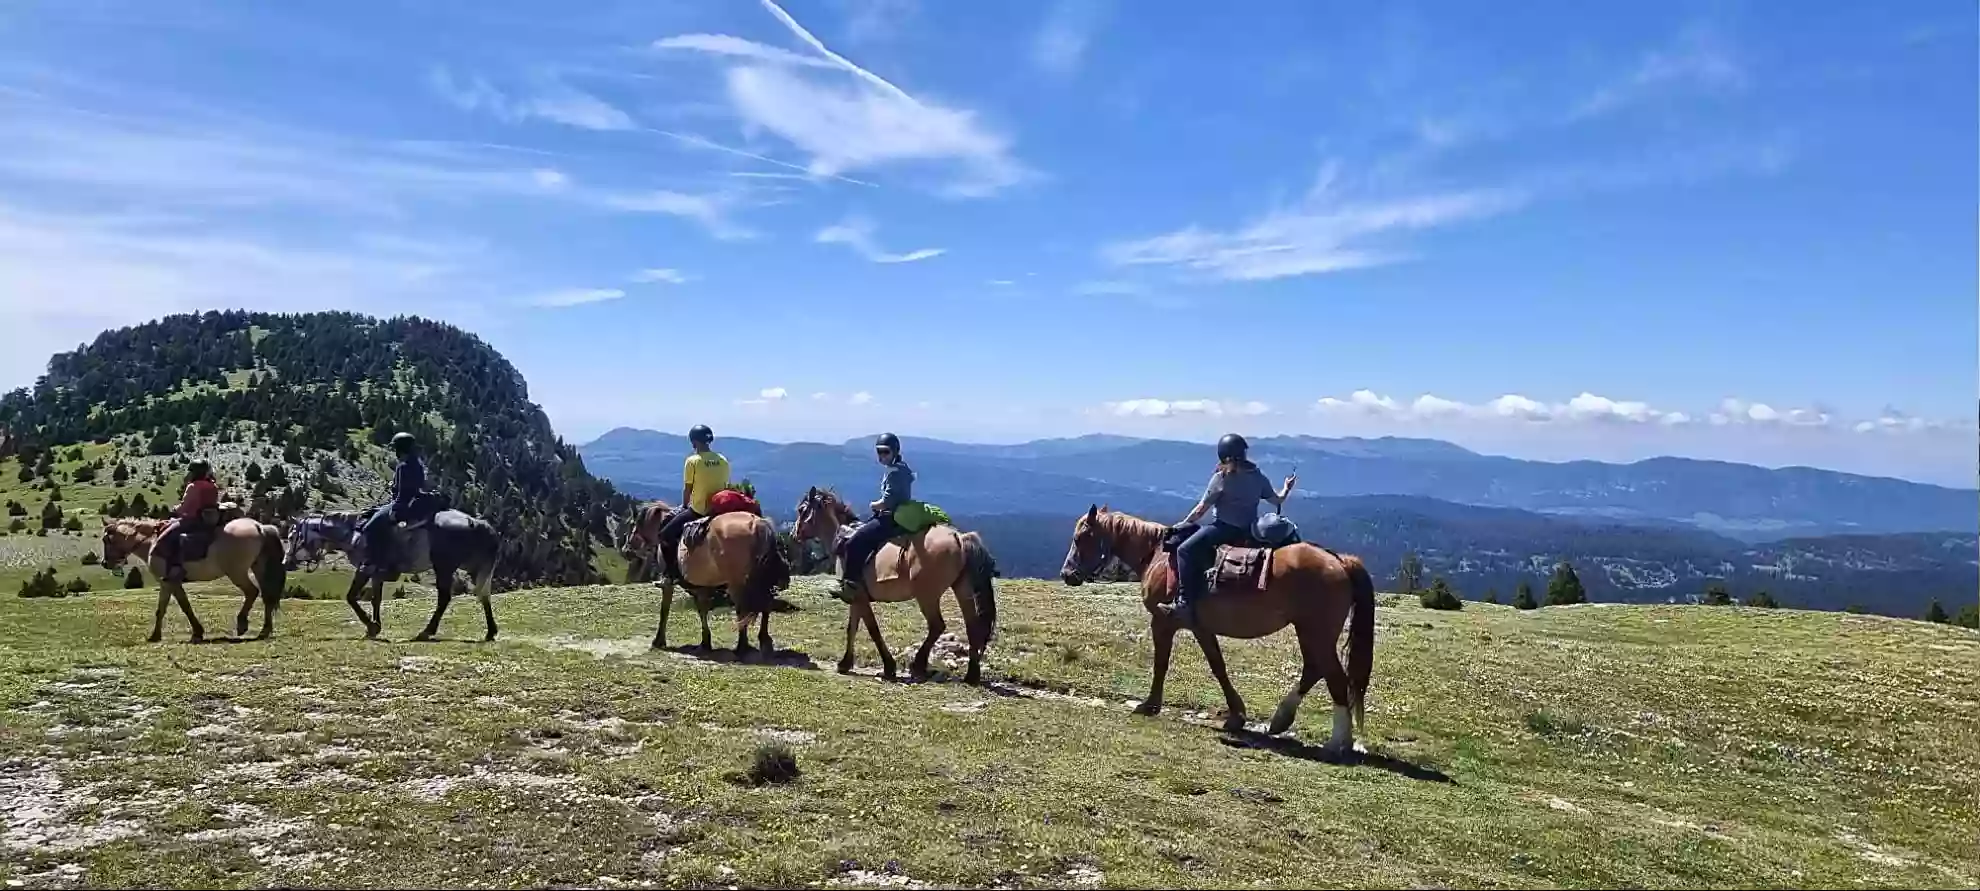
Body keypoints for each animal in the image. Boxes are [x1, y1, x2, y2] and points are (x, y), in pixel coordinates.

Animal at [100, 510, 289, 645]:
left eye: (105, 540)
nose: (105, 563)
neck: (151, 543)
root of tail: (259, 527)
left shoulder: (167, 582)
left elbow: (173, 608)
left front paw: (158, 635)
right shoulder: (171, 582)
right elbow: (175, 607)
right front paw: (192, 633)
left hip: (237, 572)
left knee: (252, 592)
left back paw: (242, 625)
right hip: (257, 567)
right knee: (266, 596)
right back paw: (264, 630)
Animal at [788, 487, 997, 681]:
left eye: (802, 509)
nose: (793, 534)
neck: (842, 539)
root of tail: (959, 537)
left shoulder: (860, 597)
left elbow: (872, 629)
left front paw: (888, 667)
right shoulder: (855, 597)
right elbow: (852, 628)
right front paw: (845, 663)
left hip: (927, 595)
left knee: (937, 625)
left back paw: (918, 665)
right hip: (962, 589)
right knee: (972, 627)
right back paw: (972, 675)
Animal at [1061, 506, 1370, 752]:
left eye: (1080, 538)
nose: (1067, 574)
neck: (1157, 556)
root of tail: (1339, 560)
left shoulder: (1162, 621)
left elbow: (1161, 663)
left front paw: (1149, 705)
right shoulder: (1200, 626)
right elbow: (1217, 665)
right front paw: (1236, 716)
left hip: (1316, 632)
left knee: (1334, 677)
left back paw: (1337, 742)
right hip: (1309, 631)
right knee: (1314, 669)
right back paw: (1282, 720)